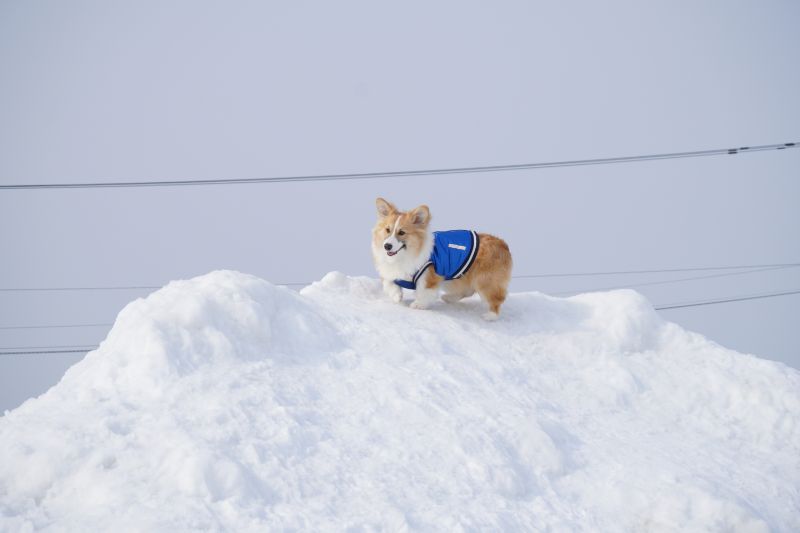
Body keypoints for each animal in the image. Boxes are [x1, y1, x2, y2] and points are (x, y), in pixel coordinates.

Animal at [374, 196, 512, 318]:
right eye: (387, 230)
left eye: (402, 232)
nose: (387, 246)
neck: (405, 255)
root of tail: (504, 244)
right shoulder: (393, 273)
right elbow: (389, 283)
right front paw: (397, 296)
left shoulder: (429, 277)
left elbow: (424, 292)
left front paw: (418, 305)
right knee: (468, 291)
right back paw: (449, 298)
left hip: (484, 281)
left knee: (496, 298)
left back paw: (490, 316)